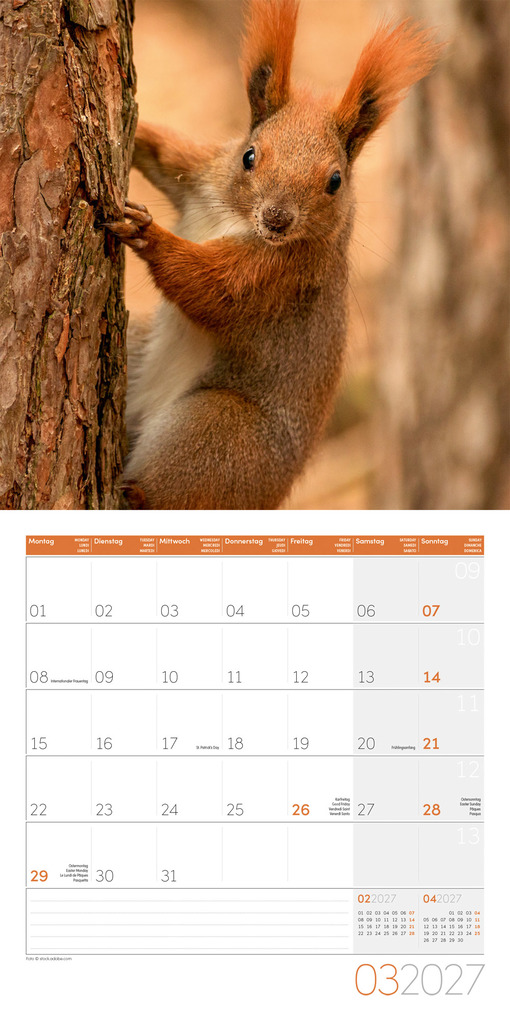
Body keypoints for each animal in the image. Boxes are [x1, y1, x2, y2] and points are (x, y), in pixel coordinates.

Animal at [106, 0, 441, 510]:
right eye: (249, 156)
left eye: (335, 180)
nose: (278, 219)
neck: (238, 217)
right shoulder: (202, 171)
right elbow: (163, 150)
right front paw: (138, 128)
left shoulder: (280, 276)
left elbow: (212, 289)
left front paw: (148, 234)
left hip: (221, 431)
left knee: (165, 494)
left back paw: (131, 495)